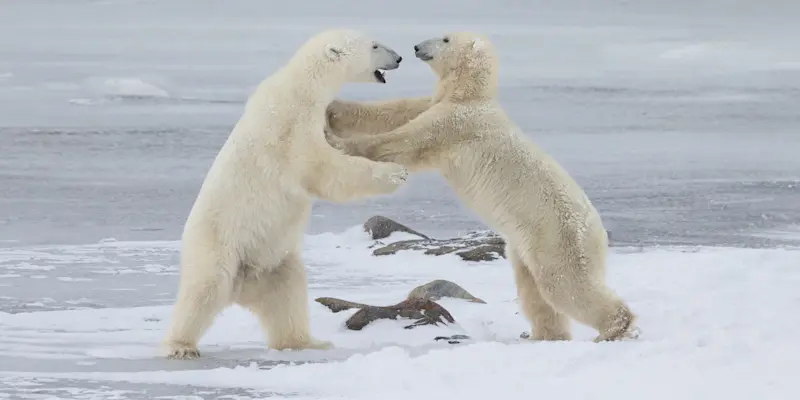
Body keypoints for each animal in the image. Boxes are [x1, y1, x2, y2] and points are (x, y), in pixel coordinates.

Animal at [162, 29, 409, 360]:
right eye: (375, 45)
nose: (399, 57)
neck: (302, 87)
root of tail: (243, 286)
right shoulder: (289, 128)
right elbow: (325, 170)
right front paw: (395, 172)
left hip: (276, 263)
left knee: (289, 296)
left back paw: (307, 342)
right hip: (217, 245)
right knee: (204, 289)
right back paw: (181, 346)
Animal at [325, 32, 639, 343]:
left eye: (445, 39)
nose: (415, 47)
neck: (471, 95)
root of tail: (597, 228)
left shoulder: (456, 124)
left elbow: (403, 142)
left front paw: (335, 141)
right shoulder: (439, 105)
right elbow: (396, 110)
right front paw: (333, 110)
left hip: (557, 238)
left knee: (564, 286)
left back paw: (614, 329)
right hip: (525, 248)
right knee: (534, 291)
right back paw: (542, 336)